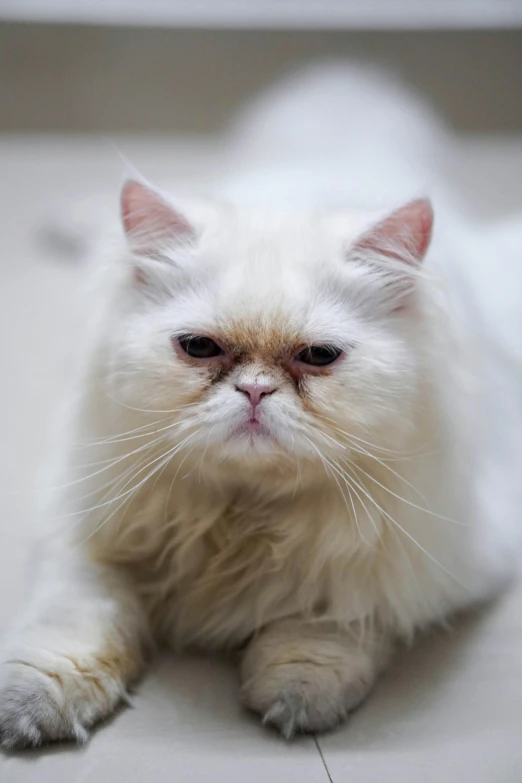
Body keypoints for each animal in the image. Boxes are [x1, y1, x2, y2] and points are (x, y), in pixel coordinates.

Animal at [0, 62, 516, 748]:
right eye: (199, 348)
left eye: (318, 356)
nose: (254, 391)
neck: (240, 519)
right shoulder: (86, 529)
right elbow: (73, 626)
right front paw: (32, 710)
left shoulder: (396, 559)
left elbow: (328, 627)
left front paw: (295, 698)